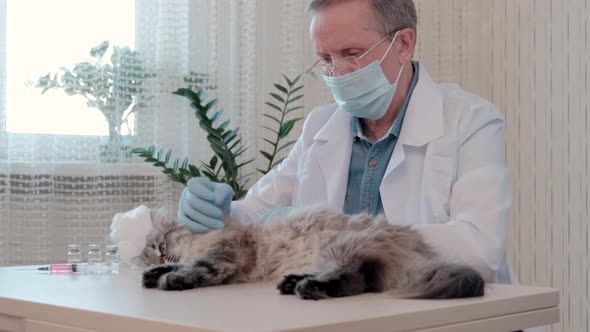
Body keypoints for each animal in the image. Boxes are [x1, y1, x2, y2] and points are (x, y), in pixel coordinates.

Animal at [140, 206, 486, 300]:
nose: (158, 257)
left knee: (354, 279)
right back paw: (291, 283)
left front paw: (170, 278)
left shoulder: (225, 256)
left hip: (340, 247)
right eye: (150, 253)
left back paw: (307, 288)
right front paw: (151, 275)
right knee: (361, 279)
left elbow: (196, 269)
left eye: (161, 246)